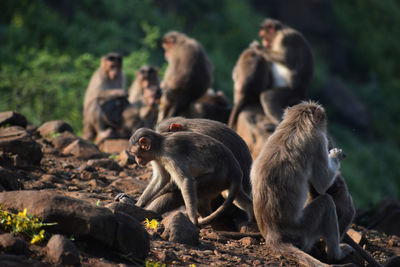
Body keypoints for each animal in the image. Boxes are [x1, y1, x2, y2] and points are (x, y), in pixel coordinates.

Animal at [126, 127, 255, 226]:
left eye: (137, 154)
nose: (137, 161)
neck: (159, 146)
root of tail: (235, 168)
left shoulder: (169, 153)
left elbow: (185, 181)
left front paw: (192, 219)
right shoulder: (157, 158)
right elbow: (161, 179)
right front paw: (139, 203)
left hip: (218, 177)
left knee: (196, 187)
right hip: (224, 181)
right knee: (230, 194)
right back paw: (250, 211)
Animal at [252, 101, 352, 266]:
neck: (296, 124)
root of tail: (274, 235)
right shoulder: (318, 141)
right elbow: (323, 184)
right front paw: (335, 154)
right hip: (303, 231)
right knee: (326, 203)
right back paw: (336, 255)